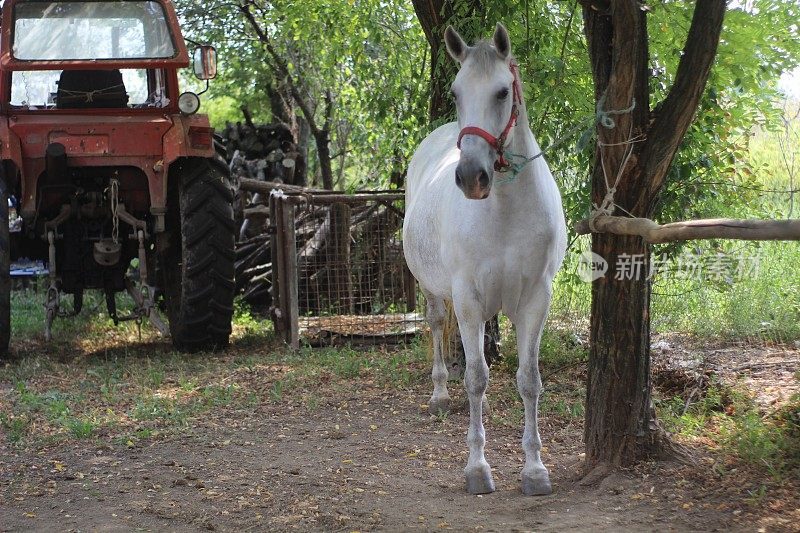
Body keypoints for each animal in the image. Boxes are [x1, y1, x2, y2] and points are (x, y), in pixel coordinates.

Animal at [404, 23, 564, 494]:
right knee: (438, 325)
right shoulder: (469, 297)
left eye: (502, 91)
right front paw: (477, 467)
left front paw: (535, 470)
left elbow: (529, 381)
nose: (471, 177)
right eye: (456, 92)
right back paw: (440, 394)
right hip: (433, 288)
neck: (505, 211)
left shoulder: (535, 300)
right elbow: (475, 377)